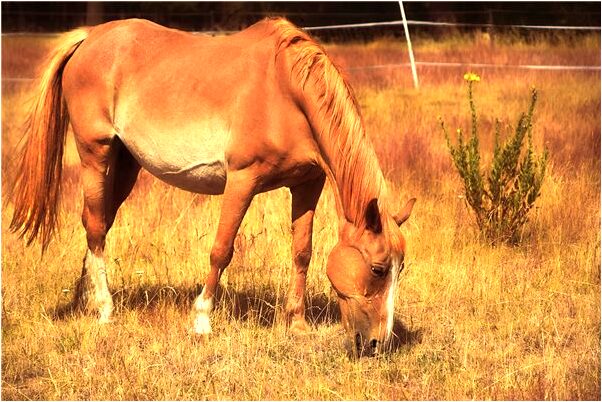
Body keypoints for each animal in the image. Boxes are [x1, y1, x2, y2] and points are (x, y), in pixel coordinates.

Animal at [10, 17, 412, 354]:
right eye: (378, 269)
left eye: (400, 268)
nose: (378, 344)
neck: (285, 91)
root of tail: (91, 36)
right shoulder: (242, 180)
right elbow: (221, 250)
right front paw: (202, 320)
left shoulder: (307, 184)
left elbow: (302, 252)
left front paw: (297, 324)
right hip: (96, 154)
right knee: (95, 226)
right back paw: (106, 309)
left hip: (124, 164)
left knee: (97, 223)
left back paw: (85, 299)